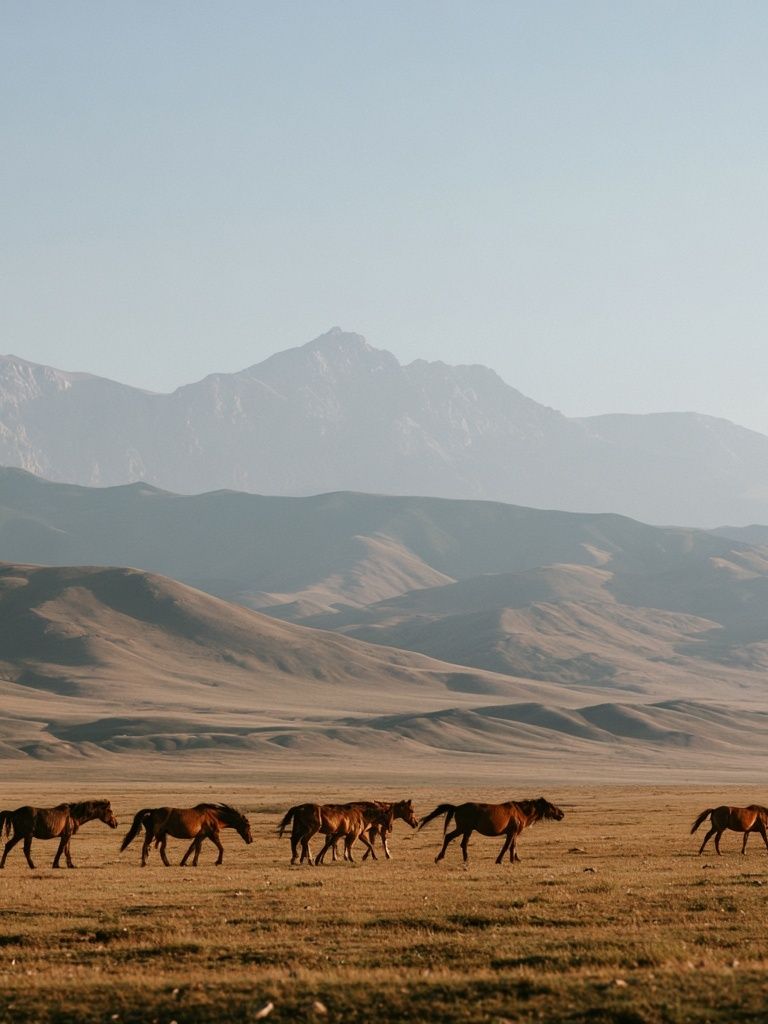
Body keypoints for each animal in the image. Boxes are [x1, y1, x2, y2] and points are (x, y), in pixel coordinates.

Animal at [120, 803, 252, 866]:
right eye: (248, 826)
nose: (250, 840)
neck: (214, 816)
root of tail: (153, 811)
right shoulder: (212, 834)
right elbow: (220, 847)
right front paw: (218, 862)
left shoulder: (201, 836)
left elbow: (193, 848)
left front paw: (185, 862)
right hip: (154, 834)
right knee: (146, 846)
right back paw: (145, 863)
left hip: (162, 835)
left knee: (159, 849)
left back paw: (166, 863)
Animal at [419, 797, 565, 864]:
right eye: (551, 806)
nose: (562, 814)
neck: (521, 812)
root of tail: (457, 807)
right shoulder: (511, 832)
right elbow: (507, 847)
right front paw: (499, 860)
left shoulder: (514, 833)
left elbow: (513, 846)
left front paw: (515, 859)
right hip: (465, 829)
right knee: (457, 841)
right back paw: (455, 859)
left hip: (465, 829)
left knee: (453, 839)